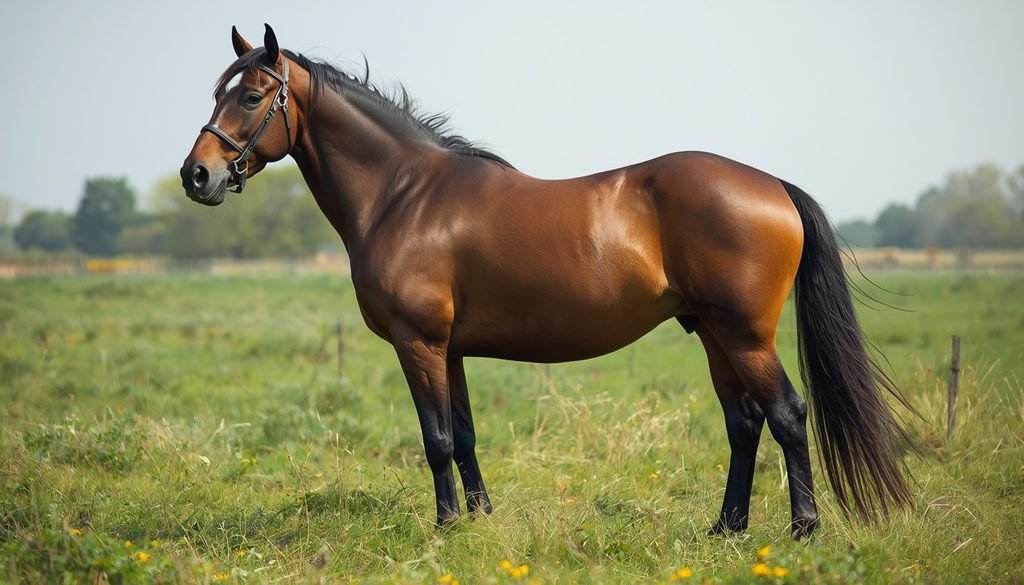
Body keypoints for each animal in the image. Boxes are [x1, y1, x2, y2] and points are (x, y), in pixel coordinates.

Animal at [181, 24, 912, 540]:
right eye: (216, 92)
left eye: (252, 95)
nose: (197, 175)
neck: (404, 196)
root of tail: (773, 185)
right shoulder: (450, 349)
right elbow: (465, 436)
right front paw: (478, 521)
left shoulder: (418, 342)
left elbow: (435, 439)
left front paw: (445, 527)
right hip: (712, 334)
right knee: (745, 422)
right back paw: (726, 529)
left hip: (744, 334)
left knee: (787, 415)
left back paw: (801, 530)